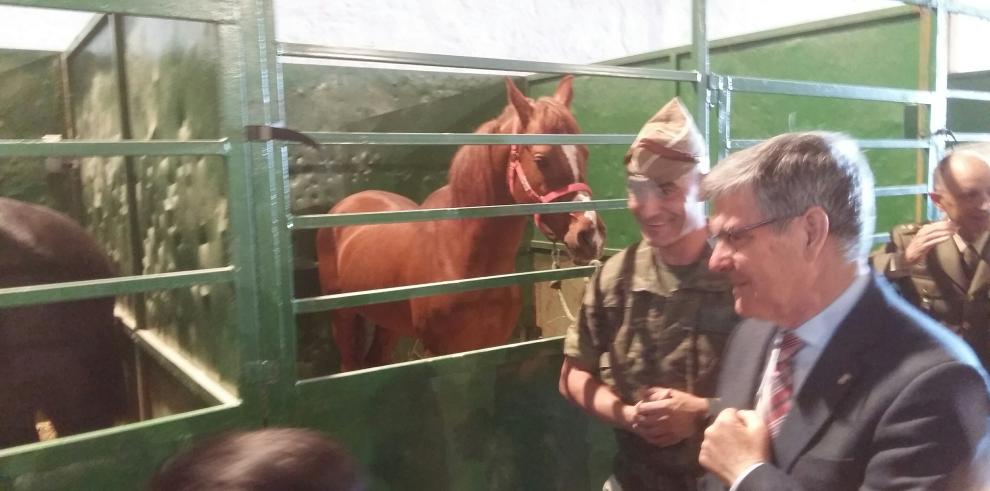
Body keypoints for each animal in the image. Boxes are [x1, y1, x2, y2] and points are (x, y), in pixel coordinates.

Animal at [322, 75, 608, 370]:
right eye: (541, 159)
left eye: (585, 153)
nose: (590, 234)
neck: (460, 255)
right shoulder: (440, 350)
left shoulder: (491, 345)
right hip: (343, 317)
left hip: (388, 321)